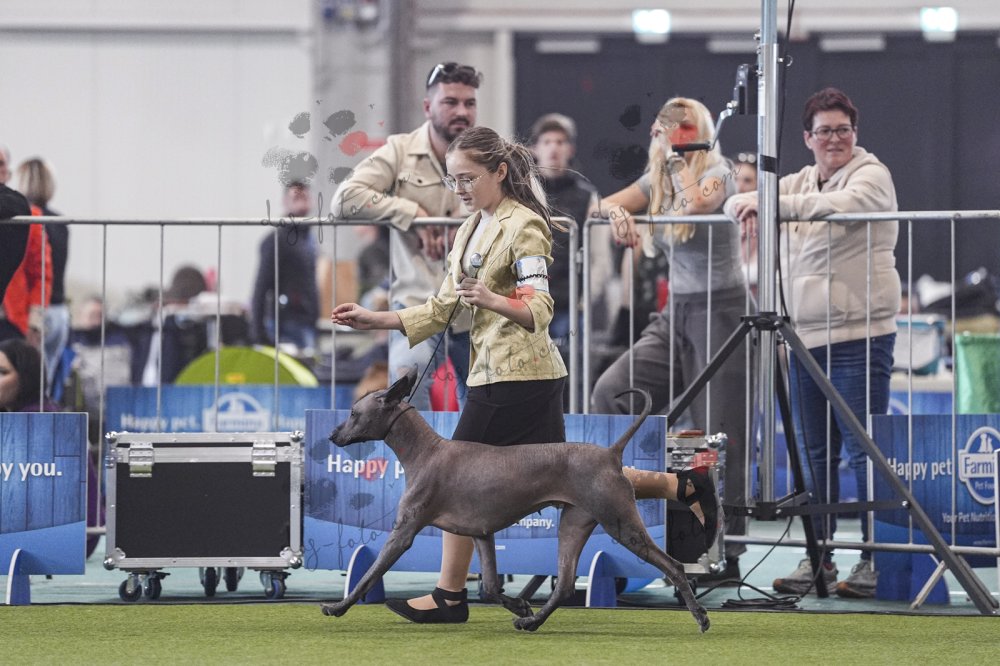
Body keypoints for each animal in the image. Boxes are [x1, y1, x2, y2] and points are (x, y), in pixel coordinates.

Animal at [319, 368, 710, 633]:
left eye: (353, 413)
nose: (333, 435)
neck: (425, 451)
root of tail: (611, 453)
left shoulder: (403, 532)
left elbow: (368, 574)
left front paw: (338, 607)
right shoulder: (481, 533)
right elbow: (492, 588)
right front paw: (520, 607)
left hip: (620, 523)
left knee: (674, 566)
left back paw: (700, 616)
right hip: (574, 523)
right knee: (564, 584)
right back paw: (532, 622)